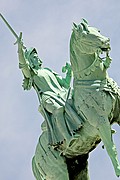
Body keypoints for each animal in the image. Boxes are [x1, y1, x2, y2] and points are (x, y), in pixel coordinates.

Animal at [31, 19, 120, 180]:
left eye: (97, 30)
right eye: (85, 34)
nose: (107, 41)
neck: (94, 81)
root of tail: (35, 159)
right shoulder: (102, 123)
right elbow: (112, 149)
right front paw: (118, 171)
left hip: (79, 166)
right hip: (59, 173)